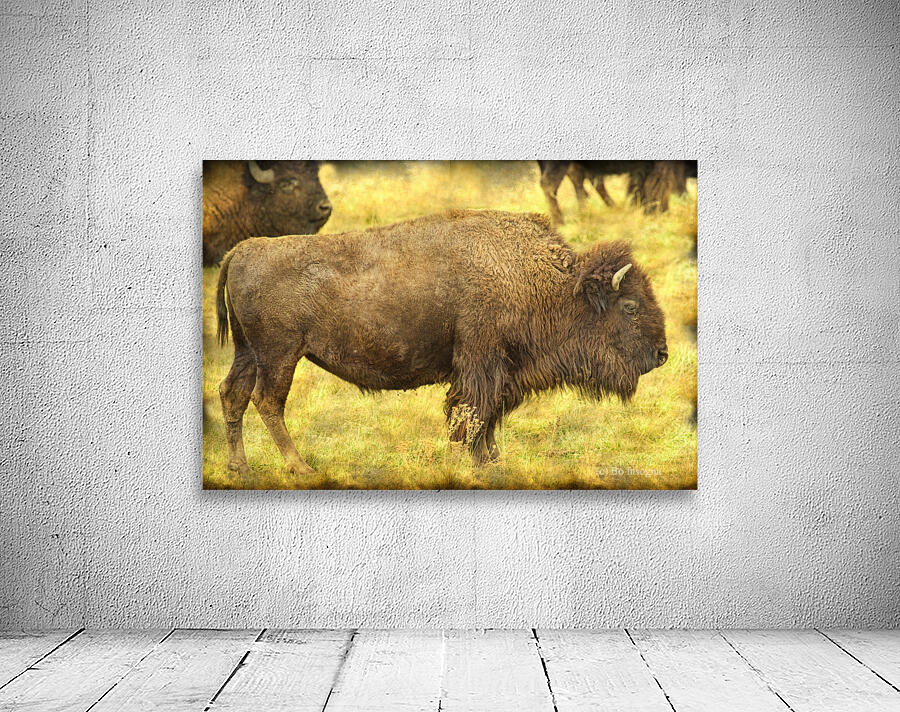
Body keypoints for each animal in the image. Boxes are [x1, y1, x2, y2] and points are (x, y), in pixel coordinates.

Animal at [216, 210, 668, 474]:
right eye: (630, 306)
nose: (662, 354)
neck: (549, 285)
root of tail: (241, 251)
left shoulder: (498, 372)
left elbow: (486, 416)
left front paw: (491, 461)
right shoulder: (482, 363)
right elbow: (472, 413)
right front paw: (477, 462)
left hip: (248, 352)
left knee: (231, 394)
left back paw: (240, 468)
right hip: (280, 354)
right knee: (267, 401)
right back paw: (300, 468)